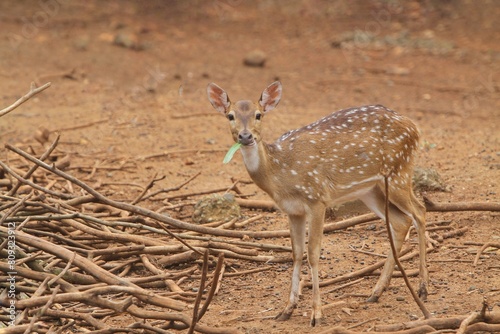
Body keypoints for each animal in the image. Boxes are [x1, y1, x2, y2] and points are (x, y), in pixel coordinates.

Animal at [205, 81, 428, 326]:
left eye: (258, 114)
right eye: (230, 115)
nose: (245, 136)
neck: (280, 173)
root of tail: (415, 127)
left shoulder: (317, 199)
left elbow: (312, 253)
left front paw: (316, 314)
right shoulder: (293, 210)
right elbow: (296, 253)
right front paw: (286, 309)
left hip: (400, 171)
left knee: (420, 211)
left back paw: (422, 288)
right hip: (371, 189)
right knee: (401, 221)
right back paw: (376, 292)